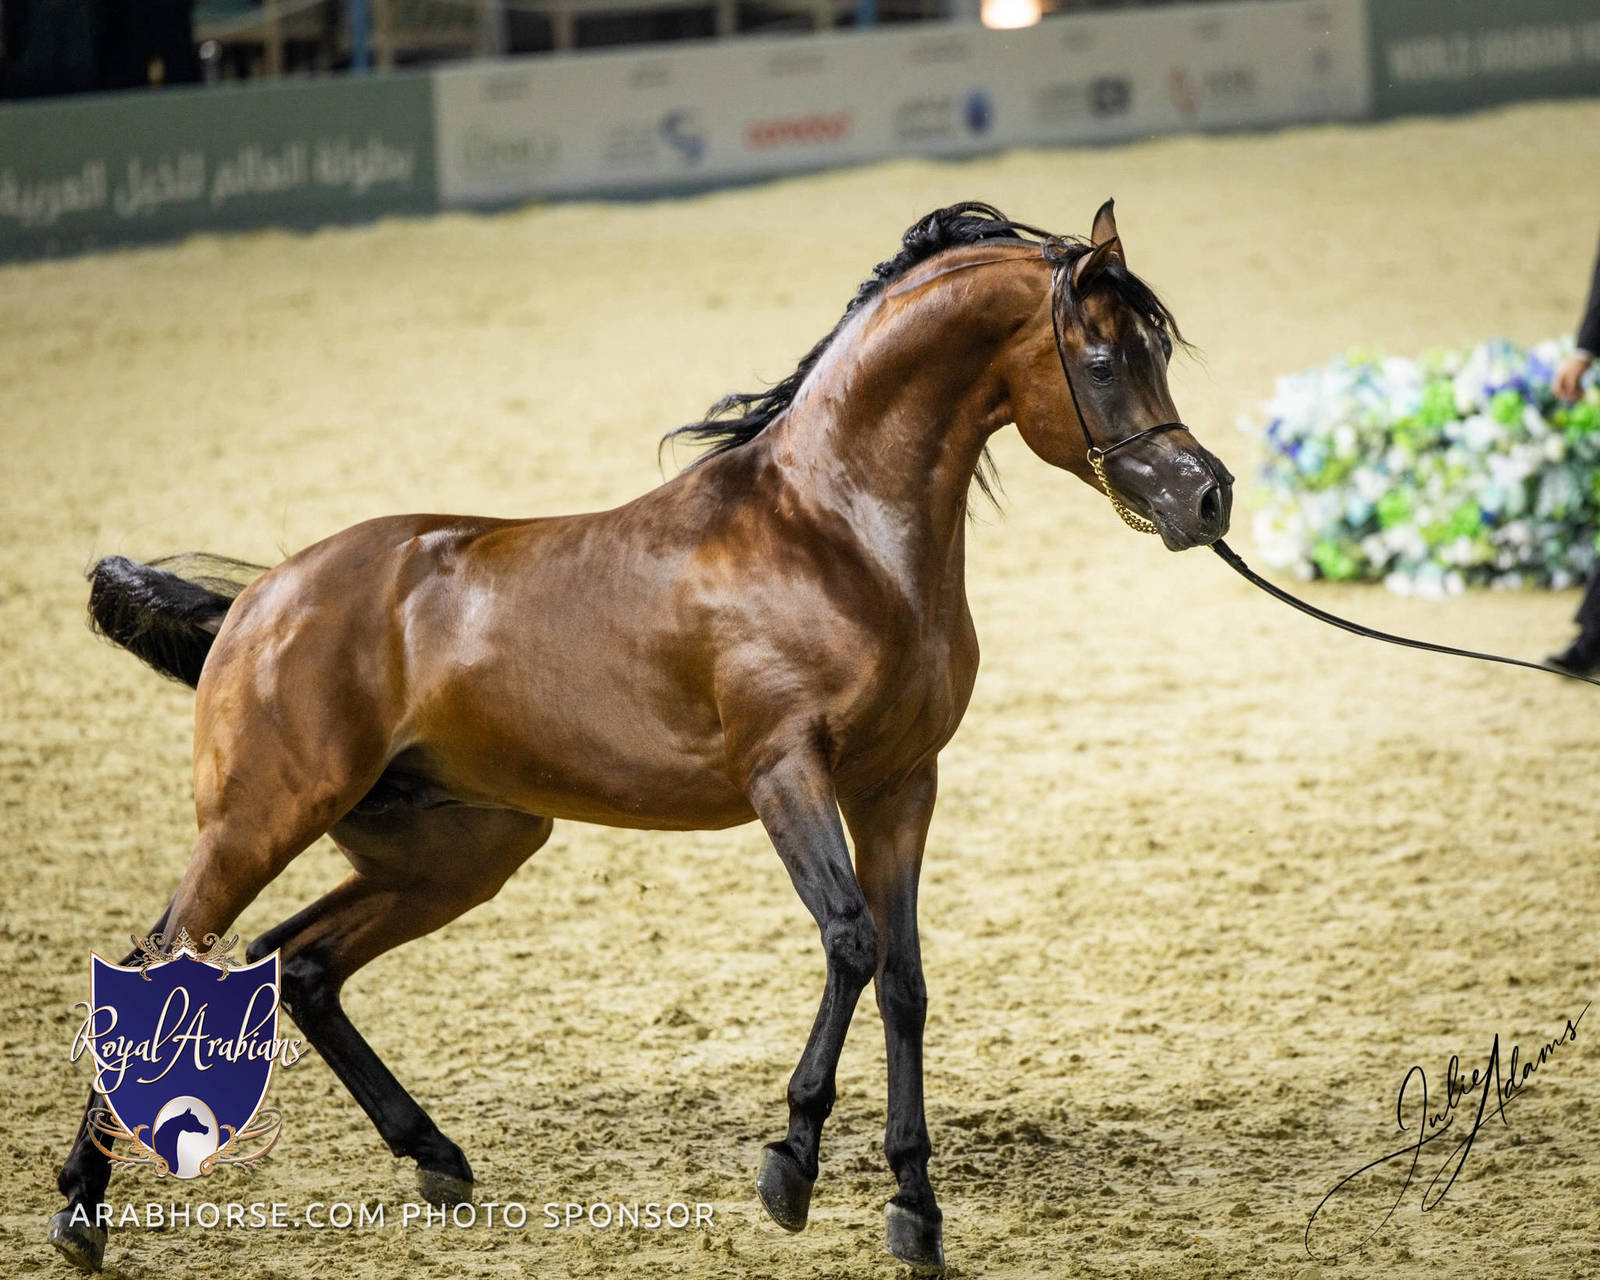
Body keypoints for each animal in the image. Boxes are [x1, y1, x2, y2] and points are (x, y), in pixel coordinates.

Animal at [51, 200, 1232, 1274]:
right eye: (1100, 357)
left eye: (1159, 348)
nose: (1207, 497)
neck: (837, 534)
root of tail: (258, 600)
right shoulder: (786, 774)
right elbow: (849, 941)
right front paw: (789, 1168)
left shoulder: (900, 783)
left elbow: (903, 977)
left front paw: (915, 1210)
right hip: (261, 819)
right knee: (161, 963)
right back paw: (81, 1210)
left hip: (457, 850)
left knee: (296, 964)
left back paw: (436, 1158)